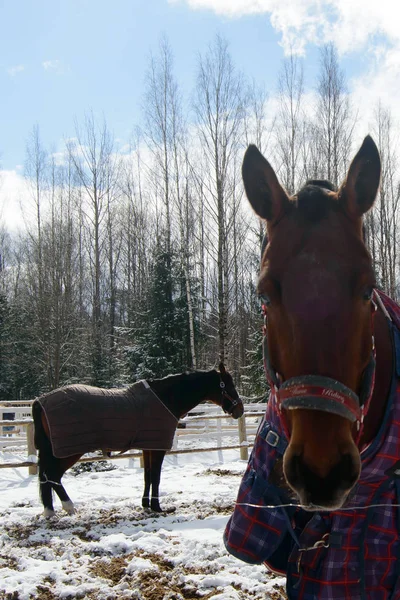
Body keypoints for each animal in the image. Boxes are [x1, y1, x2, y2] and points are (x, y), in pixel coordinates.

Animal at [32, 364, 244, 516]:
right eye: (228, 385)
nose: (239, 410)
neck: (165, 399)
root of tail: (40, 401)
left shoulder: (148, 447)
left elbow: (147, 476)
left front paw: (146, 504)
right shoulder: (158, 448)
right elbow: (156, 476)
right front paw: (157, 507)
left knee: (47, 477)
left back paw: (50, 511)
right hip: (68, 451)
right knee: (53, 476)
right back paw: (68, 506)